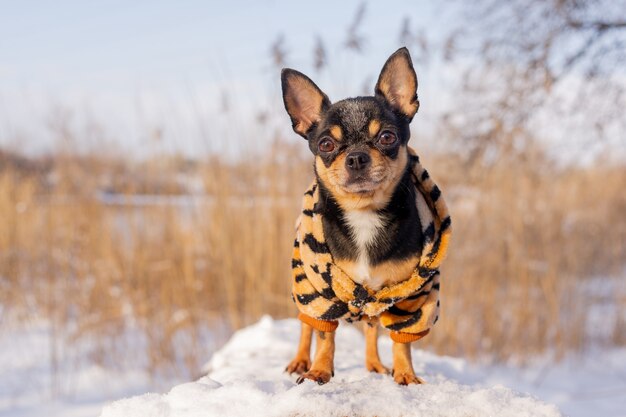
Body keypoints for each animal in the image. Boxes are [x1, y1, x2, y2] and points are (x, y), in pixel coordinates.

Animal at [280, 48, 448, 384]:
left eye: (386, 137)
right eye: (326, 144)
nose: (356, 157)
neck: (365, 214)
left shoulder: (413, 296)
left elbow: (402, 341)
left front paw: (406, 375)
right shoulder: (321, 293)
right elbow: (325, 335)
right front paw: (320, 370)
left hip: (378, 299)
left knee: (371, 326)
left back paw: (373, 363)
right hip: (303, 282)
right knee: (306, 325)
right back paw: (301, 360)